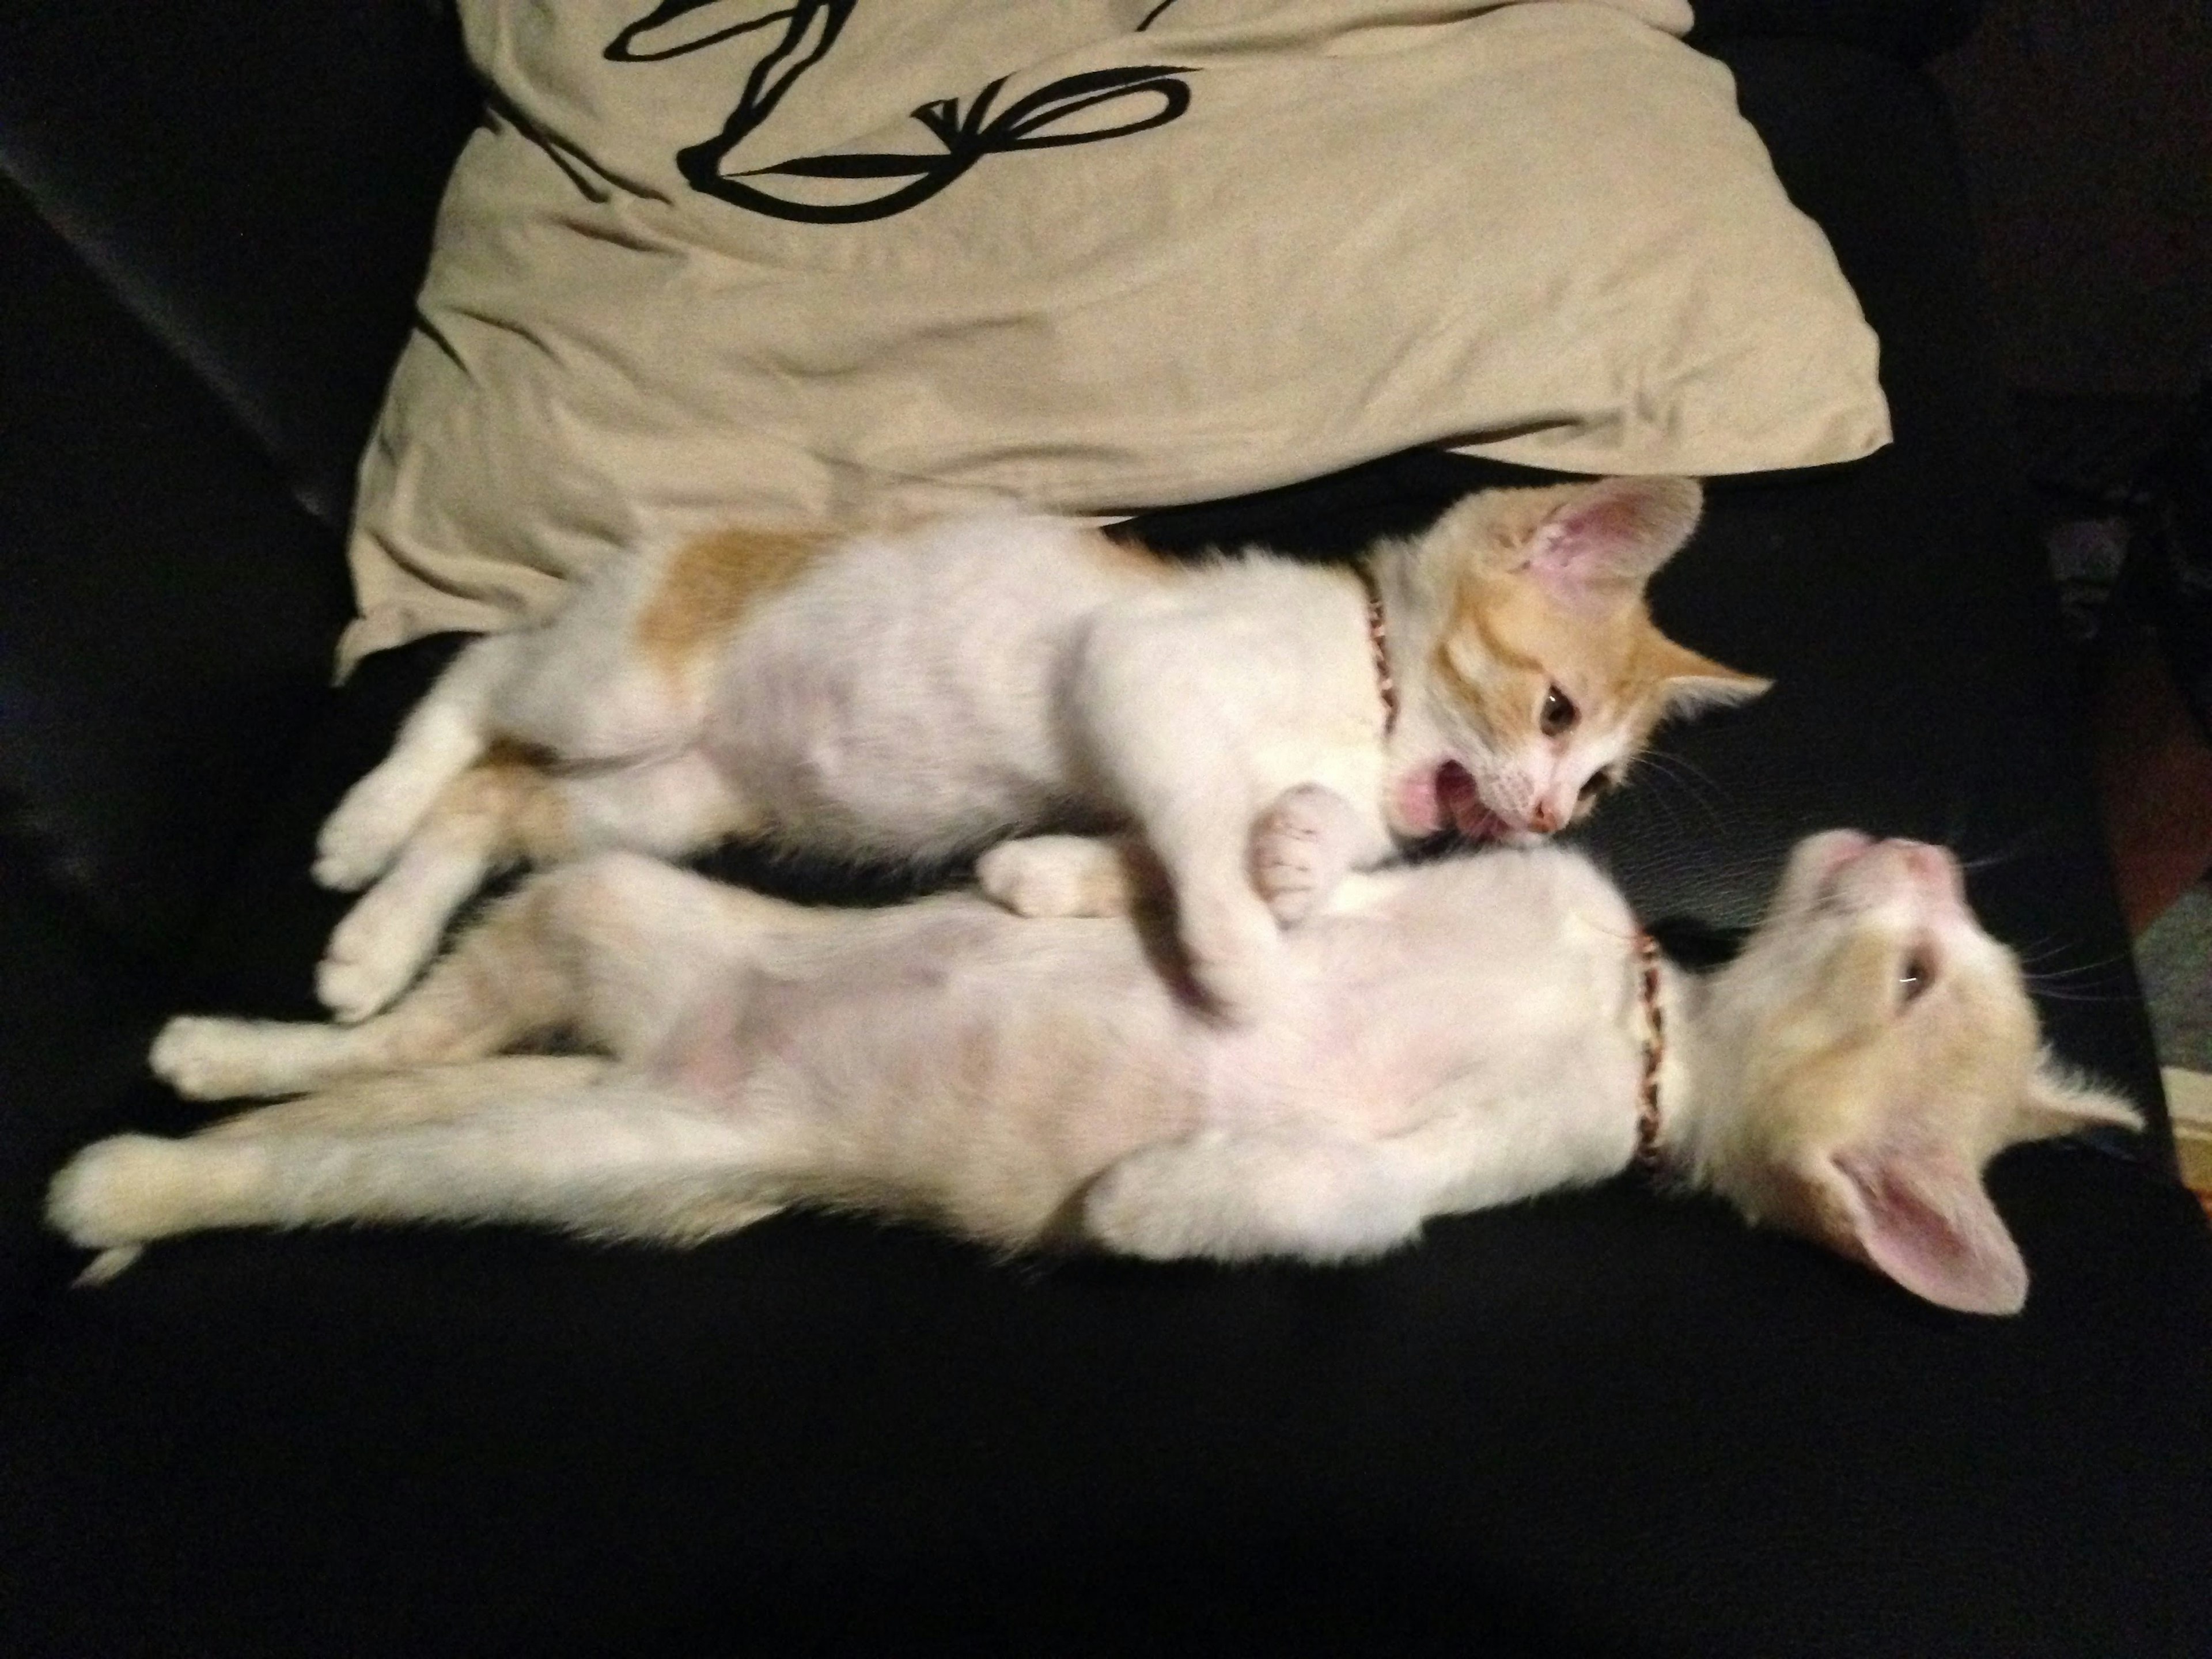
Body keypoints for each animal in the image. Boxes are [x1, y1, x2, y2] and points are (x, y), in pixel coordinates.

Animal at [312, 478, 1760, 1026]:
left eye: (1599, 783)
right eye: (1556, 713)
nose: (1540, 820)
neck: (1366, 679)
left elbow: (1182, 841)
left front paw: (1283, 854)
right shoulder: (1139, 669)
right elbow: (1193, 820)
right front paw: (1242, 958)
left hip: (669, 797)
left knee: (499, 801)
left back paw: (377, 941)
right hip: (623, 684)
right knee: (477, 670)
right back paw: (364, 823)